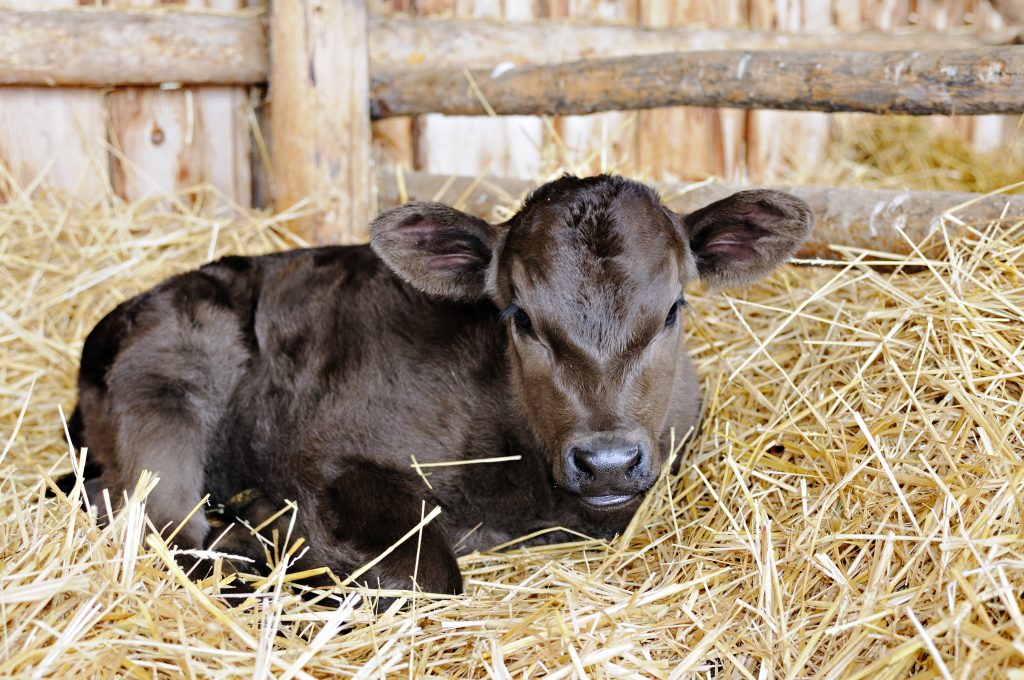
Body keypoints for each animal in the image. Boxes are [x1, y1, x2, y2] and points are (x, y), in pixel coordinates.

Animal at [67, 174, 811, 596]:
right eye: (519, 316)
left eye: (674, 308)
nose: (606, 461)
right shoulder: (331, 455)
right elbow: (430, 578)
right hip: (165, 401)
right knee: (167, 534)